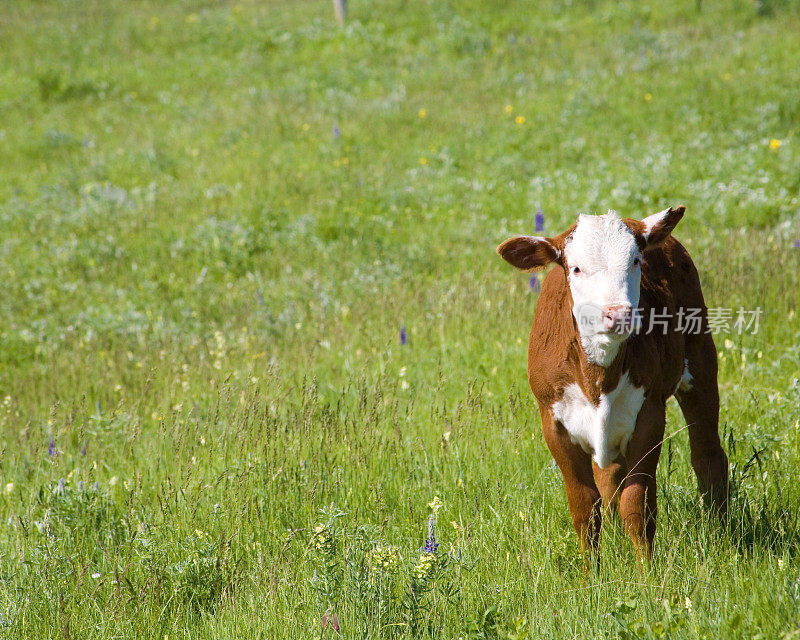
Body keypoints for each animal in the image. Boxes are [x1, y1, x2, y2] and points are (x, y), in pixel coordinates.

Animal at [500, 208, 732, 556]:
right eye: (576, 267)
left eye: (636, 261)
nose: (618, 314)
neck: (598, 377)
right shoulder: (554, 423)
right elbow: (584, 508)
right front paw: (591, 569)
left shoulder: (649, 416)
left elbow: (637, 506)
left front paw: (646, 569)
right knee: (609, 476)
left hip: (701, 357)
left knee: (707, 455)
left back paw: (720, 532)